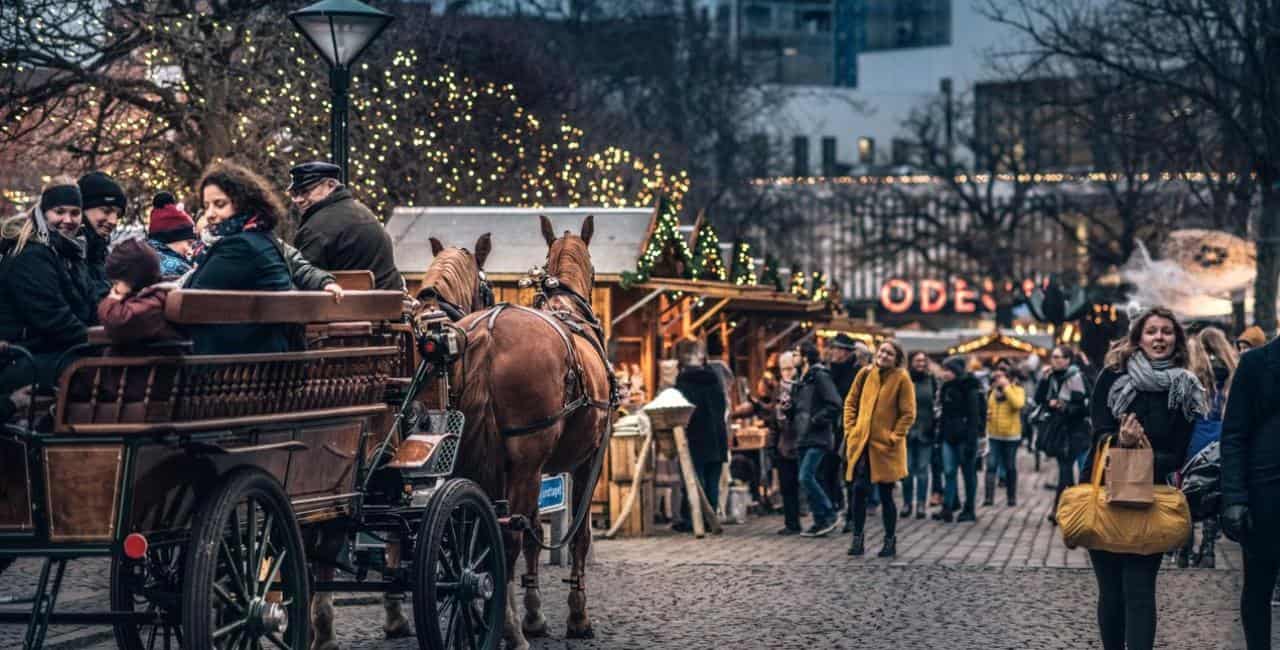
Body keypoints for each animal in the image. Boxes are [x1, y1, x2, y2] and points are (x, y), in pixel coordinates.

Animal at [448, 216, 611, 647]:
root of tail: (487, 333)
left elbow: (537, 531)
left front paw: (535, 614)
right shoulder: (589, 460)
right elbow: (579, 536)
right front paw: (577, 617)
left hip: (470, 457)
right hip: (525, 463)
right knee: (508, 539)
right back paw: (509, 630)